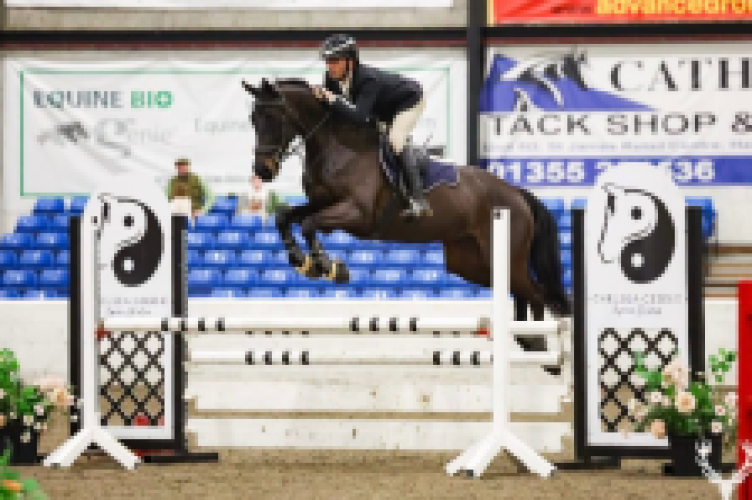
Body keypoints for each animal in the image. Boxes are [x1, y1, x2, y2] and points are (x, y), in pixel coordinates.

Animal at [242, 78, 571, 322]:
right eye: (253, 120)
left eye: (273, 118)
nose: (263, 171)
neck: (336, 148)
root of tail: (516, 193)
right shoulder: (323, 204)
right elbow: (286, 217)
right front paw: (302, 261)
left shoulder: (358, 215)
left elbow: (310, 224)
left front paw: (326, 266)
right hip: (470, 262)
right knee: (523, 293)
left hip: (505, 256)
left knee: (537, 294)